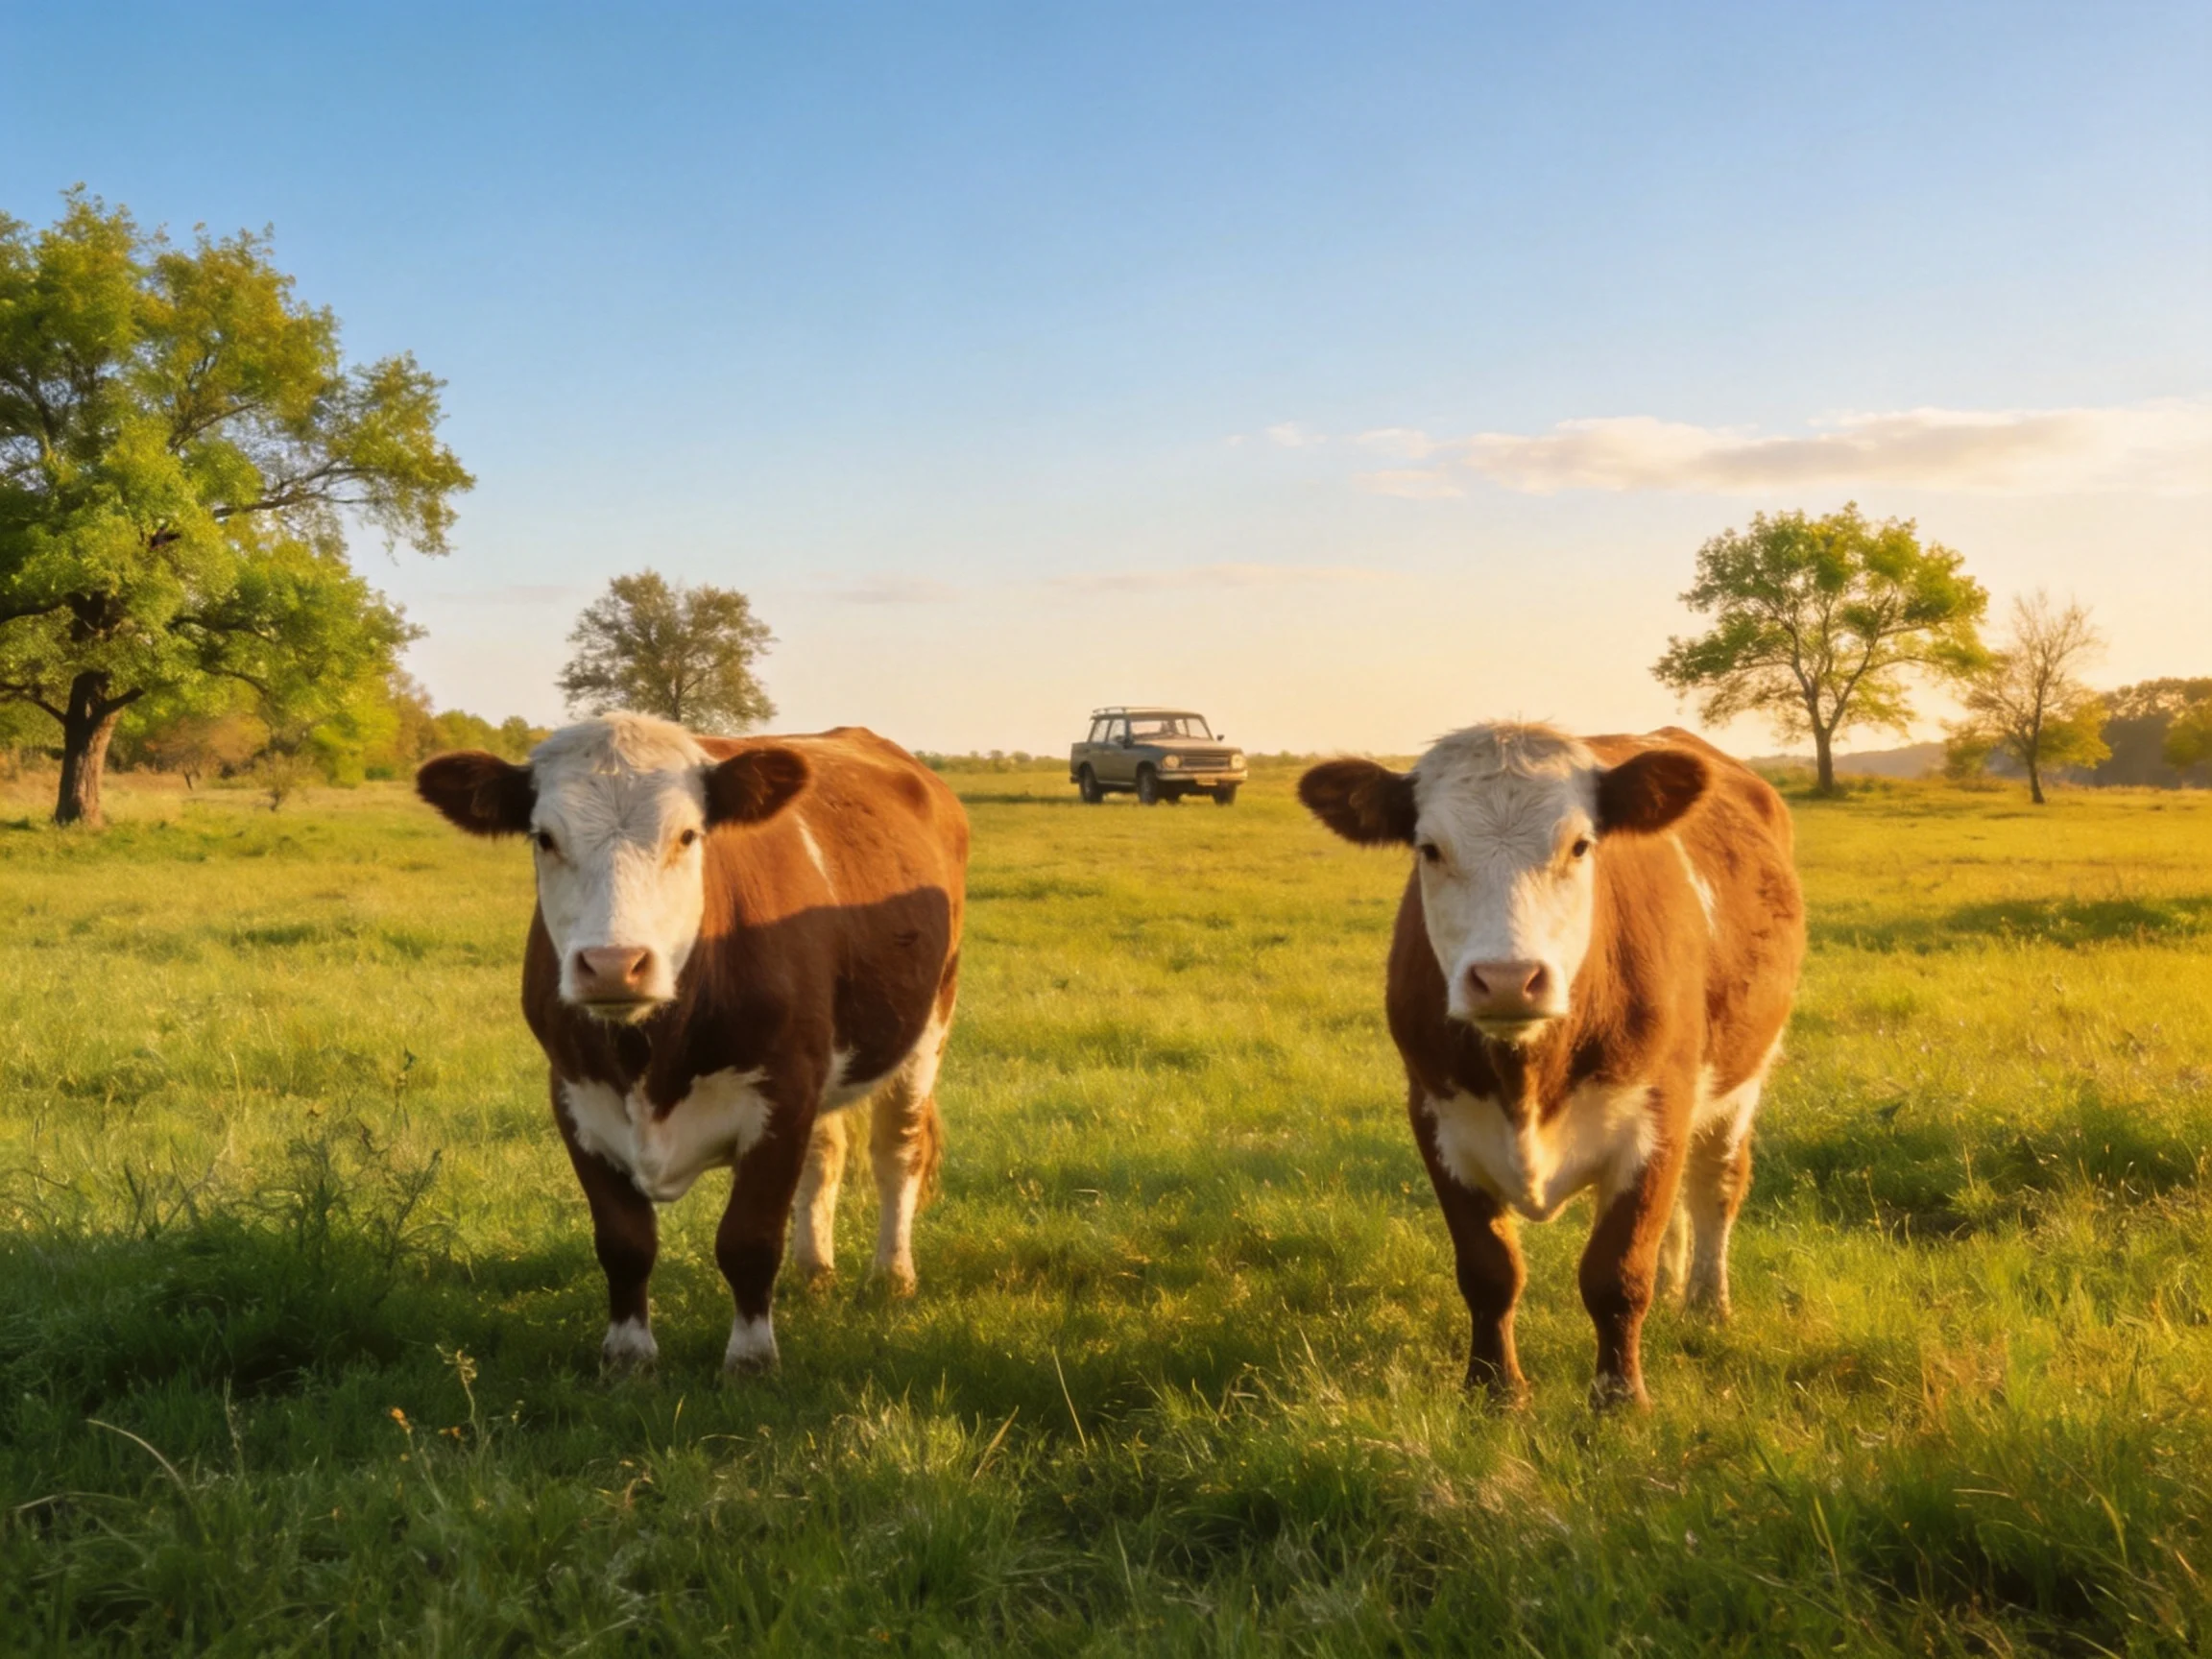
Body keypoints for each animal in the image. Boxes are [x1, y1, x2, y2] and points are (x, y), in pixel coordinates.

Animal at [416, 713, 967, 1376]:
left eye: (687, 835)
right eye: (544, 838)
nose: (613, 964)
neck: (647, 1057)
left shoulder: (783, 1089)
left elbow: (749, 1239)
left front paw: (751, 1360)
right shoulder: (575, 1095)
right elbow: (624, 1241)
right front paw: (628, 1359)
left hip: (930, 1023)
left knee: (897, 1151)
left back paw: (891, 1276)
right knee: (827, 1153)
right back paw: (813, 1270)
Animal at [1299, 723, 1803, 1408]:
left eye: (1581, 845)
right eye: (1429, 849)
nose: (1507, 979)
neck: (1528, 1080)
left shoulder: (1659, 1119)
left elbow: (1618, 1273)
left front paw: (1618, 1400)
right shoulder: (1437, 1118)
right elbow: (1490, 1271)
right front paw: (1494, 1391)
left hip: (1740, 1081)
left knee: (1715, 1186)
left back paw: (1704, 1303)